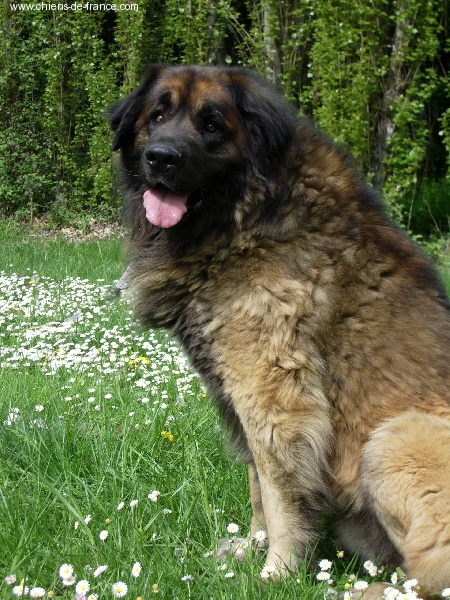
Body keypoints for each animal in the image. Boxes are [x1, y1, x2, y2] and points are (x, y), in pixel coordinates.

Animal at [109, 64, 450, 596]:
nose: (161, 157)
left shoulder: (273, 397)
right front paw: (249, 553)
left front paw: (277, 573)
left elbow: (278, 493)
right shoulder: (240, 395)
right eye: (157, 115)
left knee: (433, 570)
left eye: (212, 125)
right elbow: (256, 488)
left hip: (395, 438)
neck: (248, 217)